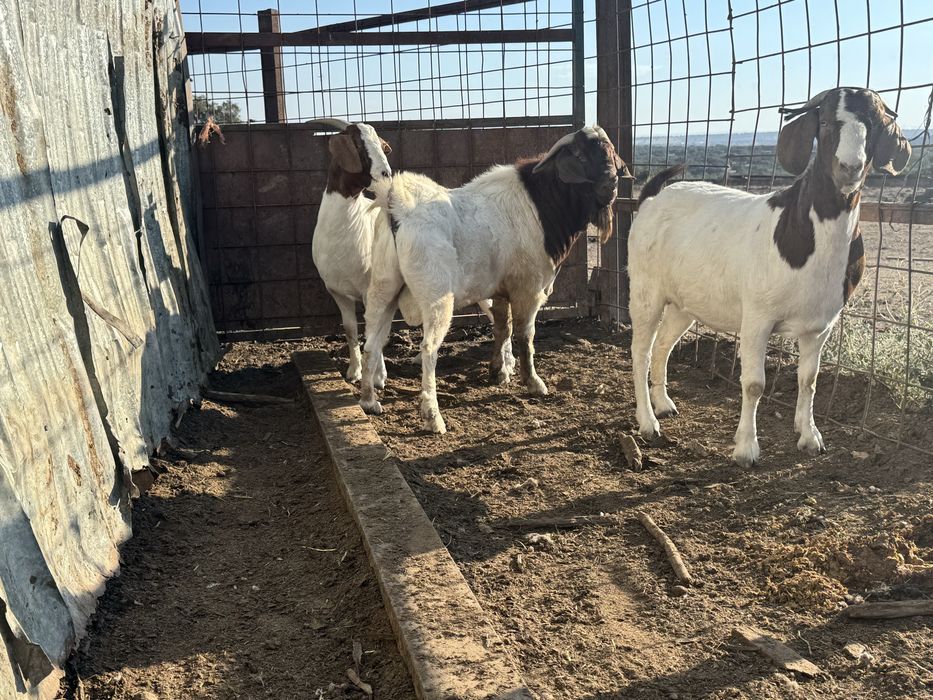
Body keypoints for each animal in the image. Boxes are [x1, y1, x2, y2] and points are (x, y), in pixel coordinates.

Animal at [359, 126, 627, 433]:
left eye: (610, 151)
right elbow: (525, 334)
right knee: (428, 349)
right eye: (580, 155)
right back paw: (433, 416)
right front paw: (533, 382)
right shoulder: (528, 288)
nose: (611, 184)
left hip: (383, 288)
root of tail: (397, 207)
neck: (539, 204)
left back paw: (369, 401)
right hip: (436, 297)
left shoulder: (500, 289)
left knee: (371, 343)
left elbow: (501, 328)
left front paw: (498, 371)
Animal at [628, 87, 911, 467]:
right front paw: (746, 448)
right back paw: (648, 422)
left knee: (662, 346)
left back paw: (664, 405)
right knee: (640, 351)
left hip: (685, 303)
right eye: (824, 121)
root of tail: (651, 197)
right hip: (646, 290)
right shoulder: (757, 318)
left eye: (876, 124)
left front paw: (809, 436)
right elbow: (754, 384)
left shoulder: (820, 326)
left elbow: (809, 380)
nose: (848, 168)